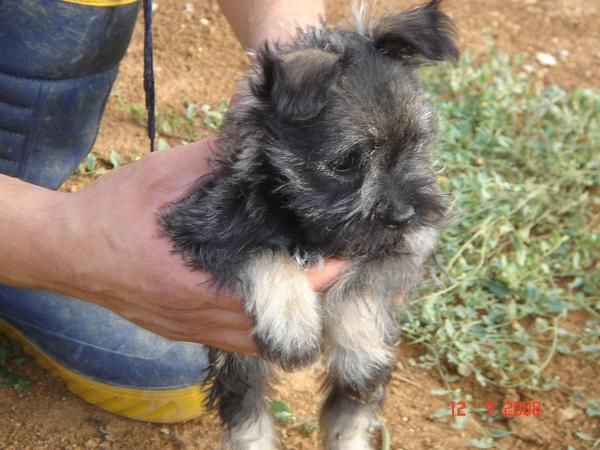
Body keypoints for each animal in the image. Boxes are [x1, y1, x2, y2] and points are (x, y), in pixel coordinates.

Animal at [162, 1, 458, 448]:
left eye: (418, 143)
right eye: (346, 161)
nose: (405, 215)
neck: (306, 225)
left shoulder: (408, 247)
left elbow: (364, 284)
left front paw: (360, 347)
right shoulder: (207, 228)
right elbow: (264, 251)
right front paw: (292, 326)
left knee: (352, 412)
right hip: (239, 366)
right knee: (248, 414)